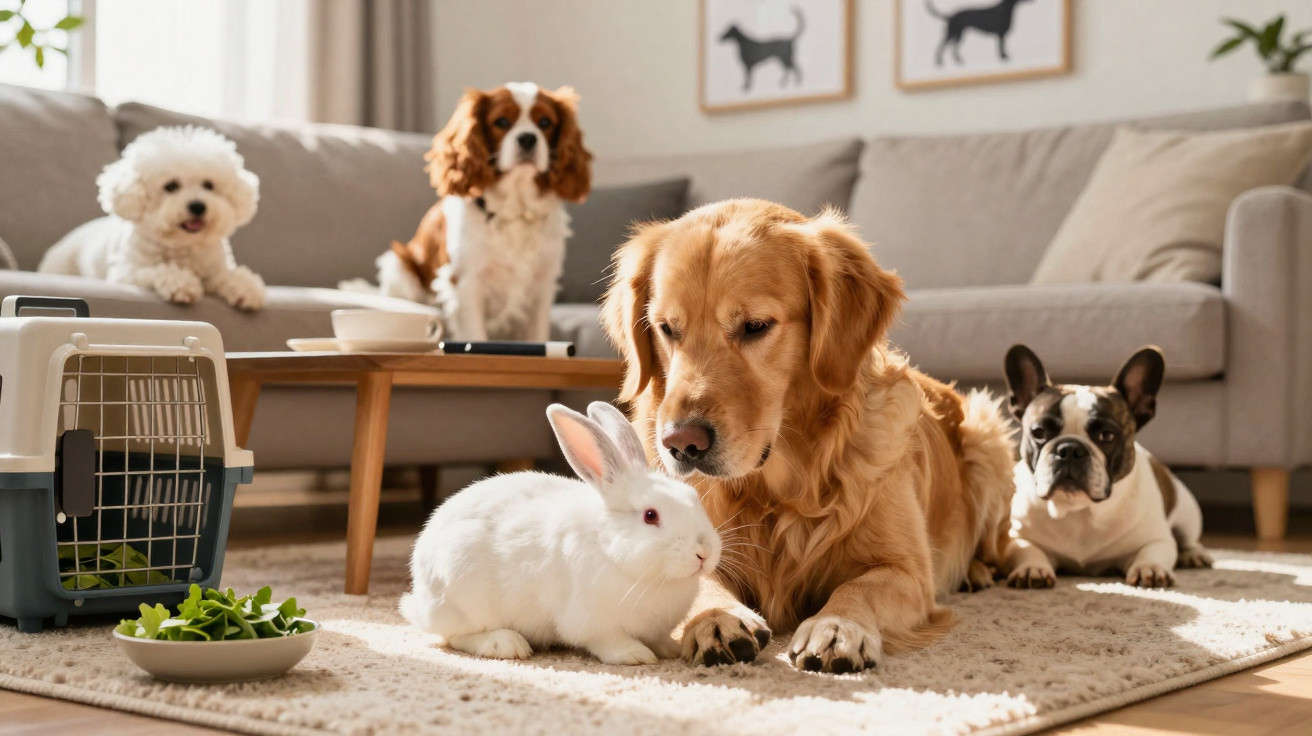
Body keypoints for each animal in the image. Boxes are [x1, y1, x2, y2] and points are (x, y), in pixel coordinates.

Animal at [399, 401, 722, 665]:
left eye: (693, 496)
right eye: (650, 516)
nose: (704, 552)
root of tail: (421, 597)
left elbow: (659, 639)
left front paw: (673, 649)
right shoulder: (591, 622)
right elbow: (608, 642)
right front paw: (636, 655)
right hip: (465, 594)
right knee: (455, 636)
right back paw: (506, 644)